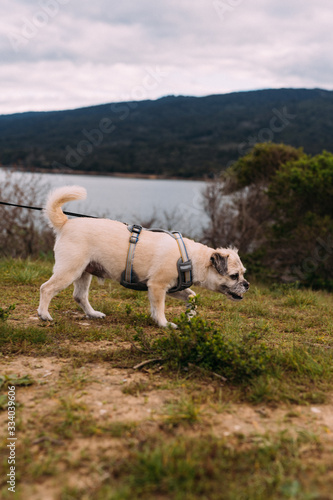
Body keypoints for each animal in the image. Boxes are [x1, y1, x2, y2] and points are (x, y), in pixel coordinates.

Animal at [37, 186, 248, 326]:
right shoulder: (157, 287)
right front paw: (164, 324)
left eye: (243, 274)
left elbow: (193, 297)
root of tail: (66, 223)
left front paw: (190, 316)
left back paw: (93, 314)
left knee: (79, 296)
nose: (247, 284)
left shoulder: (173, 289)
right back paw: (44, 314)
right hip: (69, 271)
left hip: (84, 272)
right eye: (234, 276)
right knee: (46, 289)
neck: (190, 258)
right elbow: (159, 309)